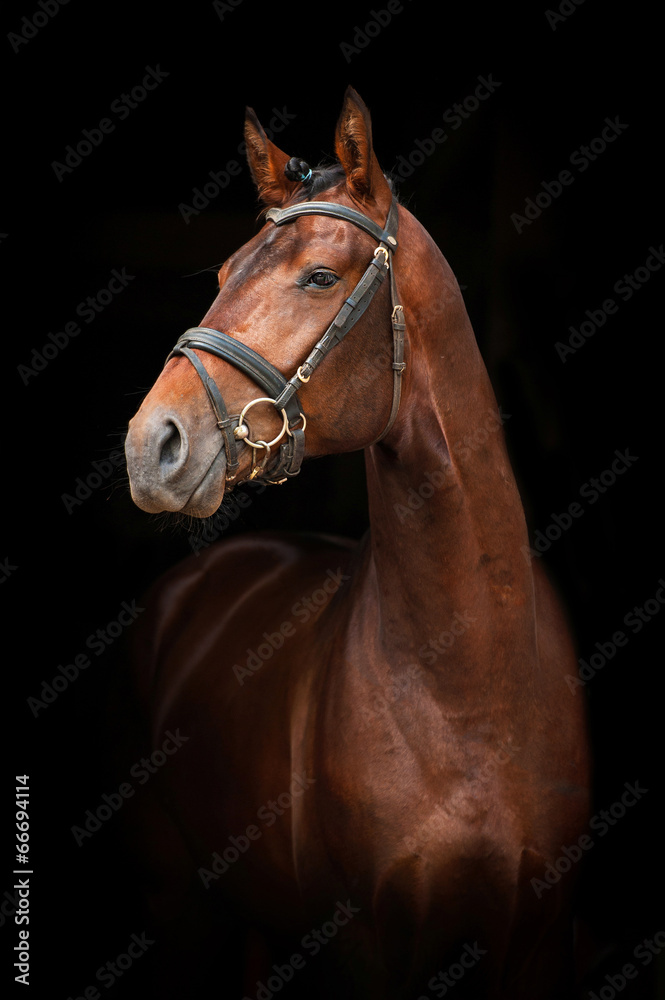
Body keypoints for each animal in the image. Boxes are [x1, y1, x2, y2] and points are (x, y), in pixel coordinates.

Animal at [123, 87, 590, 999]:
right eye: (223, 275)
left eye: (318, 276)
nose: (149, 444)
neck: (470, 685)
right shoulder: (369, 948)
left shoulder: (541, 945)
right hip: (176, 905)